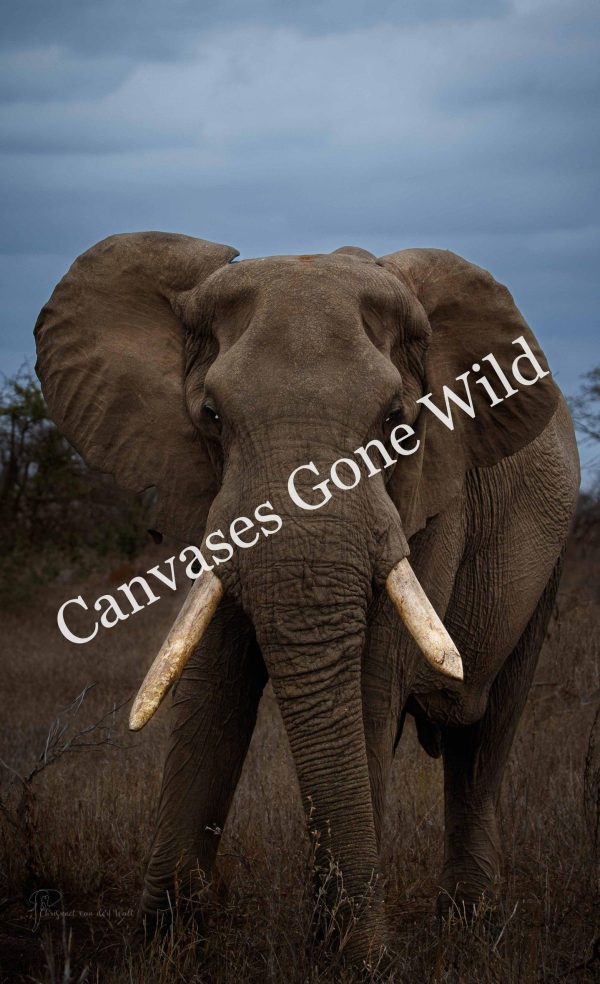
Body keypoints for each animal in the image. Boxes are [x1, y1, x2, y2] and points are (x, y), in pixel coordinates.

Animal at [34, 232, 579, 968]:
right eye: (211, 417)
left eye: (398, 423)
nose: (371, 957)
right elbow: (213, 687)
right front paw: (164, 952)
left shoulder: (431, 500)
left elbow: (371, 688)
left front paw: (353, 962)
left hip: (550, 554)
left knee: (484, 733)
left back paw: (472, 932)